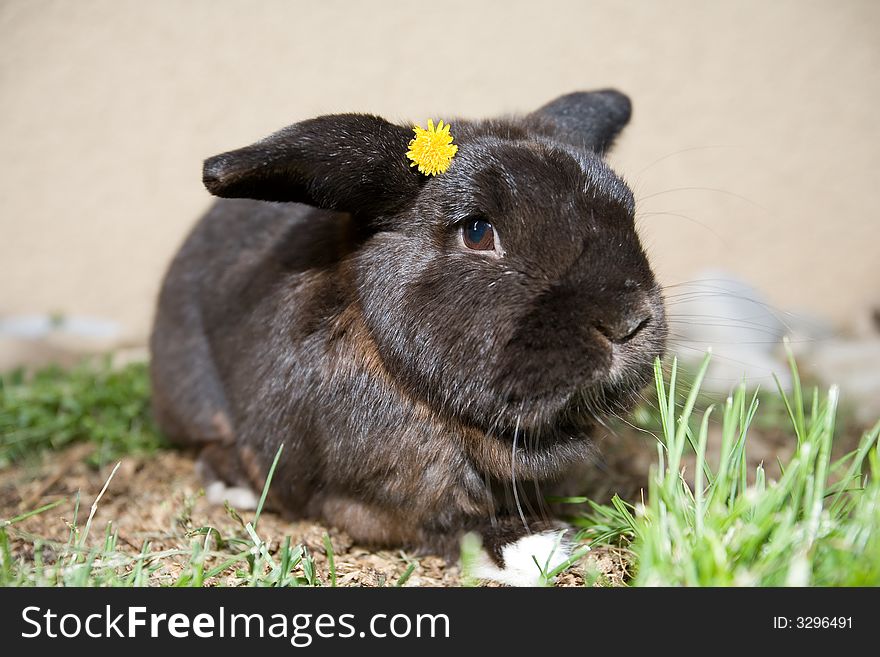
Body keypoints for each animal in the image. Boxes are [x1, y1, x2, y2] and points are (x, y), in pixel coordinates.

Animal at [150, 91, 668, 584]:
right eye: (477, 231)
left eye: (626, 209)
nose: (627, 321)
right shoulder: (371, 500)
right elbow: (447, 527)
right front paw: (537, 549)